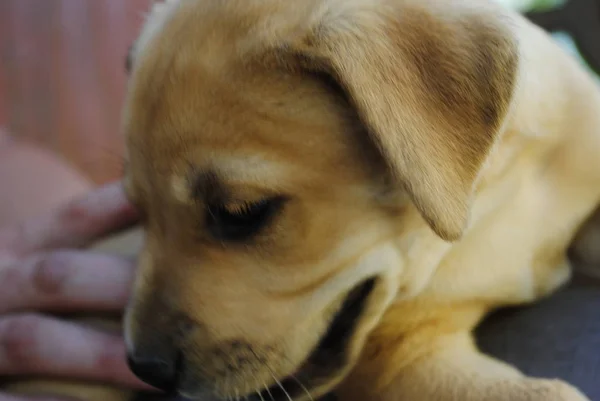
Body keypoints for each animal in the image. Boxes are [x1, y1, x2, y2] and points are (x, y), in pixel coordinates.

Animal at [118, 0, 600, 400]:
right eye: (139, 212)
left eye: (241, 213)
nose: (145, 369)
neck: (491, 211)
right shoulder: (406, 356)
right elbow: (547, 393)